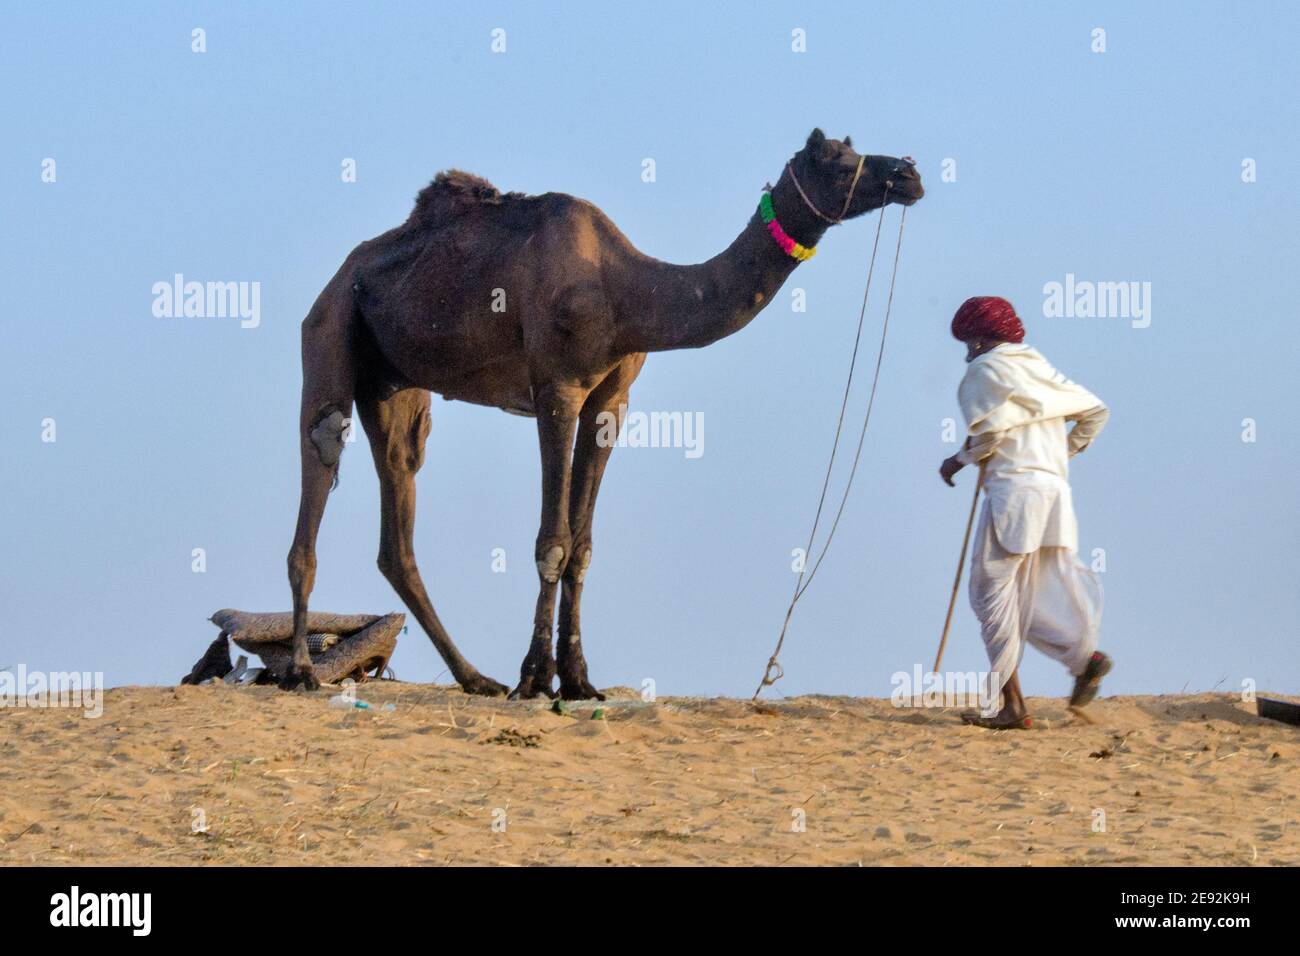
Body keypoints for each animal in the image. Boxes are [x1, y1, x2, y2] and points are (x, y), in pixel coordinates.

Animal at [284, 127, 920, 697]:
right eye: (841, 161)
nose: (908, 173)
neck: (627, 291)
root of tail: (338, 277)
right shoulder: (558, 389)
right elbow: (553, 541)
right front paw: (535, 678)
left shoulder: (611, 402)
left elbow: (584, 547)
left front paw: (579, 680)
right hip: (330, 327)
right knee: (322, 445)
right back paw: (302, 670)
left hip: (395, 384)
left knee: (399, 504)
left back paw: (475, 678)